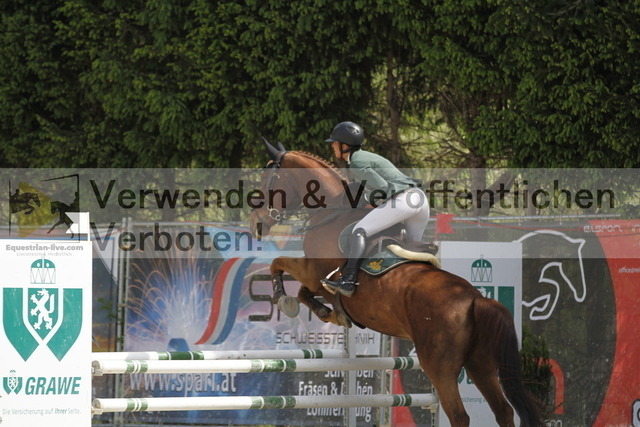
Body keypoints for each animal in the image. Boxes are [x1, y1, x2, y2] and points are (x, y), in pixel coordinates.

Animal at [248, 141, 543, 427]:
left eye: (267, 178)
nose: (255, 224)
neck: (330, 214)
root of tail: (475, 298)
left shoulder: (312, 270)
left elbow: (278, 264)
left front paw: (284, 299)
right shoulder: (319, 280)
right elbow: (304, 291)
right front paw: (328, 313)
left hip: (440, 366)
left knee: (460, 415)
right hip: (480, 365)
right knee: (503, 411)